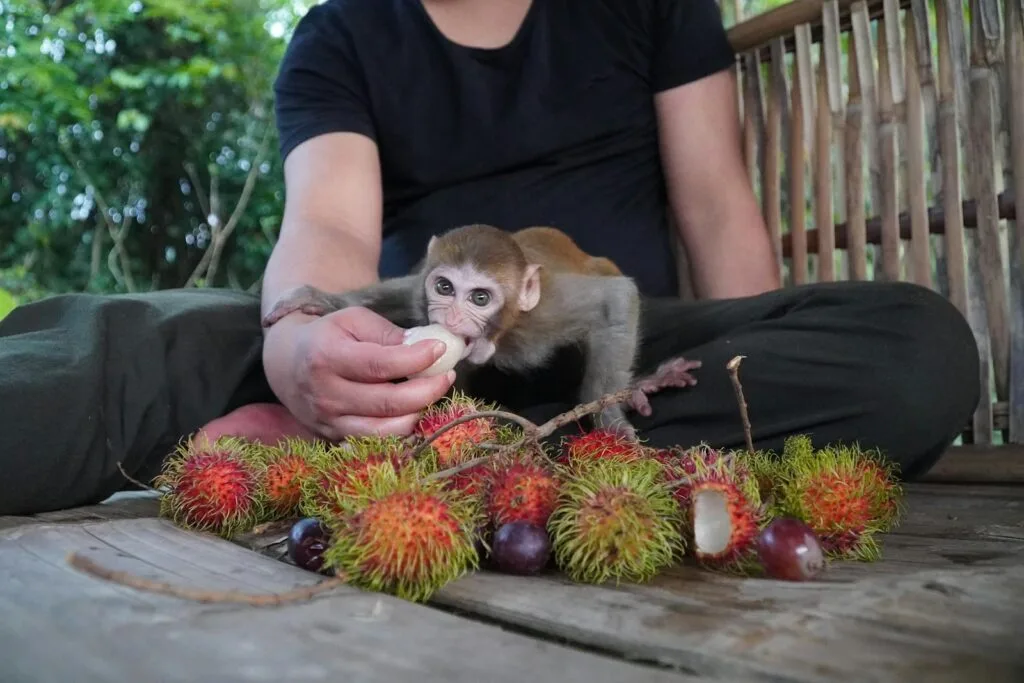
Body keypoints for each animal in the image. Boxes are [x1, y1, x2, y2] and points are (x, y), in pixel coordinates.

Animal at [261, 224, 701, 437]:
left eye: (479, 298)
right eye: (444, 288)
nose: (453, 319)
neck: (500, 339)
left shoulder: (544, 312)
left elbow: (617, 299)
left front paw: (608, 418)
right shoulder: (421, 289)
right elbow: (404, 289)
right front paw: (317, 299)